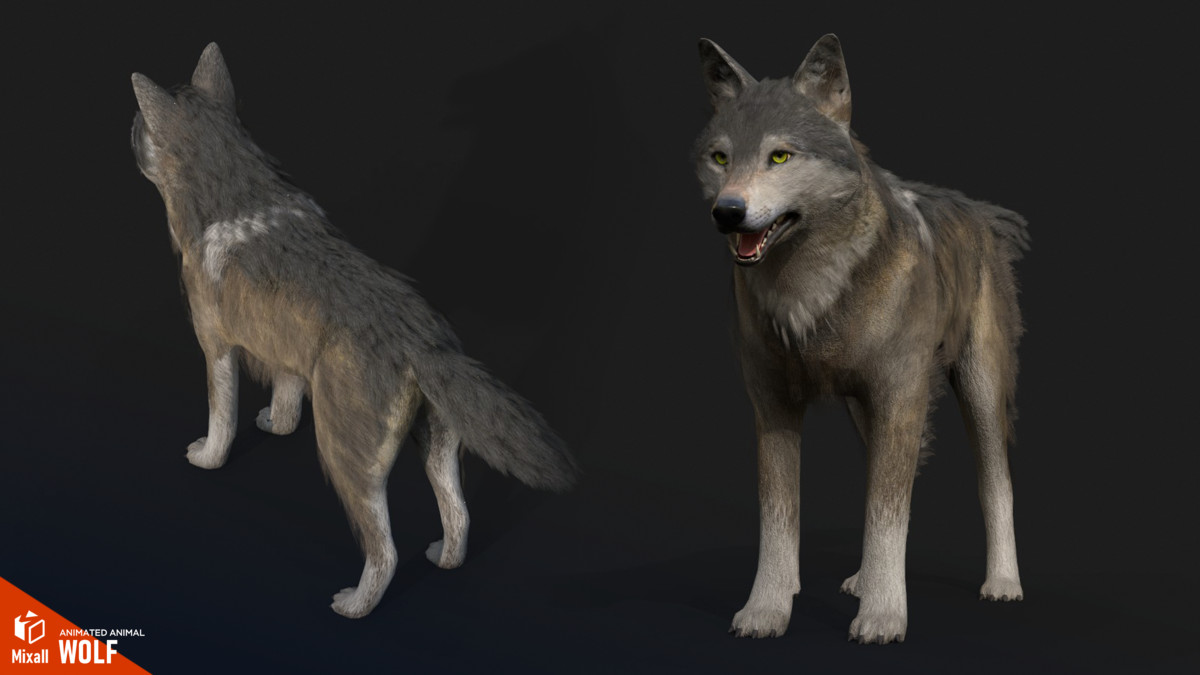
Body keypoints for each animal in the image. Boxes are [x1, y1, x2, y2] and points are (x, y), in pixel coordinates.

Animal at [130, 44, 579, 618]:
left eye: (139, 124)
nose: (127, 129)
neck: (230, 186)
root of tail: (422, 339)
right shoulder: (286, 356)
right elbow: (284, 400)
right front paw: (275, 426)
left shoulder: (217, 350)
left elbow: (221, 419)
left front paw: (208, 457)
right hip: (436, 451)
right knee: (458, 516)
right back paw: (443, 559)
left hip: (345, 458)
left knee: (385, 550)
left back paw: (353, 605)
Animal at [695, 35, 1030, 643]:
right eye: (721, 158)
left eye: (780, 157)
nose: (727, 212)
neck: (808, 297)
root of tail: (977, 210)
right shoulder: (772, 407)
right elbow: (780, 519)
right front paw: (767, 610)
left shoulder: (900, 397)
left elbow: (887, 512)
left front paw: (882, 617)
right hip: (862, 413)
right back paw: (861, 579)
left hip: (978, 391)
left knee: (996, 481)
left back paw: (1002, 584)